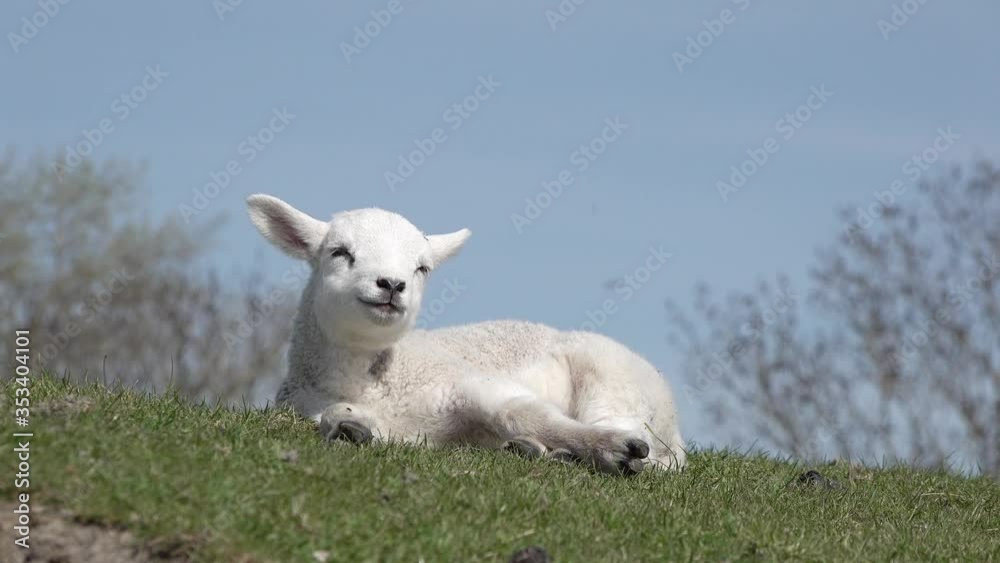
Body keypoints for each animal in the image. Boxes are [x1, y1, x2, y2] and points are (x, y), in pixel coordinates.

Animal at [246, 194, 686, 475]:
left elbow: (521, 412)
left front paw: (608, 449)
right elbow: (340, 419)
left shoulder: (469, 382)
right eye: (339, 252)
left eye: (422, 268)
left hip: (617, 383)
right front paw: (350, 429)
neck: (378, 382)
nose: (391, 285)